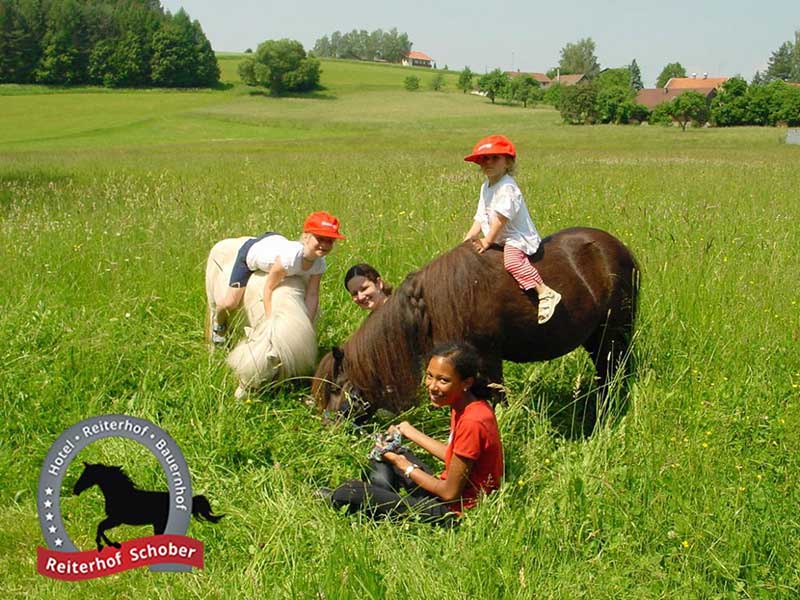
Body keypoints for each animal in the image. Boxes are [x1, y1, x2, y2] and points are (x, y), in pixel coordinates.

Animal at [312, 229, 636, 432]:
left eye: (334, 389)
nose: (327, 429)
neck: (427, 307)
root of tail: (618, 248)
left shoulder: (487, 362)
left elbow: (495, 403)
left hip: (614, 335)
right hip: (596, 338)